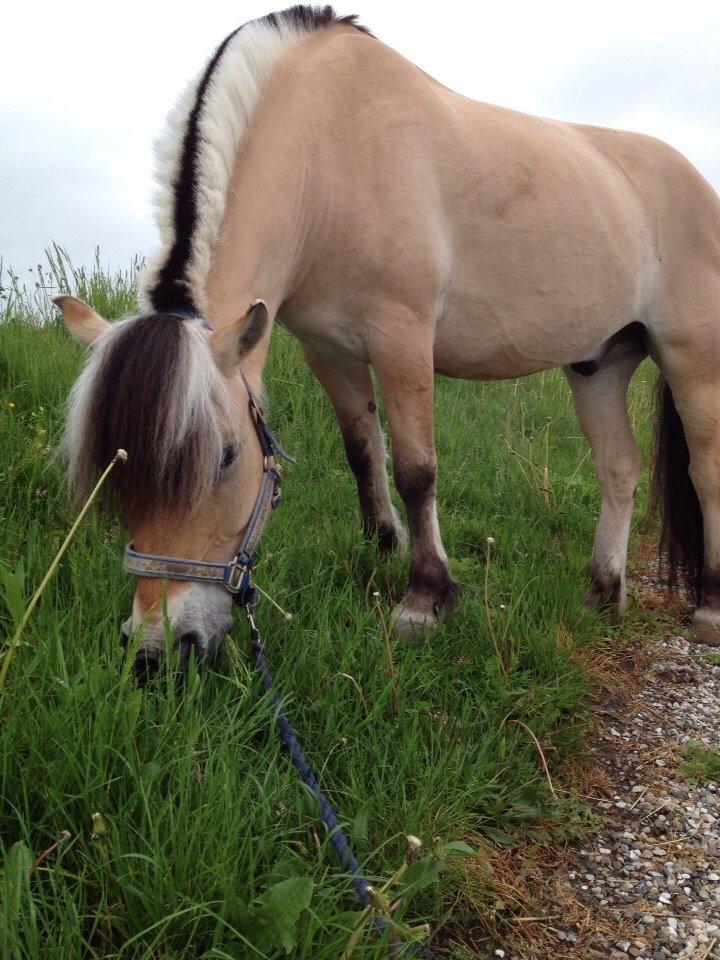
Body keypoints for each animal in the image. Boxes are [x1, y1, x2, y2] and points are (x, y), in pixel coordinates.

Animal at [54, 3, 720, 672]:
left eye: (226, 456)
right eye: (117, 467)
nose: (157, 651)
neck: (328, 154)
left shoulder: (403, 338)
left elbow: (416, 469)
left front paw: (425, 598)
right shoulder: (327, 350)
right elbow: (363, 451)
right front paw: (382, 546)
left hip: (692, 362)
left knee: (706, 471)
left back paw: (709, 605)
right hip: (598, 365)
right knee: (619, 468)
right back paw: (603, 593)